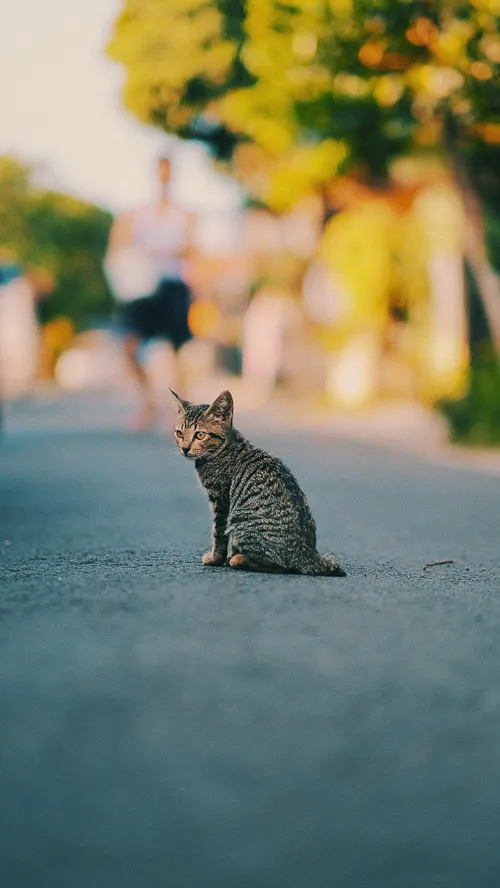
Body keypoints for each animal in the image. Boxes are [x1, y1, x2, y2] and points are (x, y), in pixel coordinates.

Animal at [170, 388, 346, 576]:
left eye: (200, 435)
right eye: (179, 433)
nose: (184, 448)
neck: (225, 449)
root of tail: (306, 553)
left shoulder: (222, 500)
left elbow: (218, 533)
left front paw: (215, 559)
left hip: (239, 517)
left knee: (280, 566)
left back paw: (239, 559)